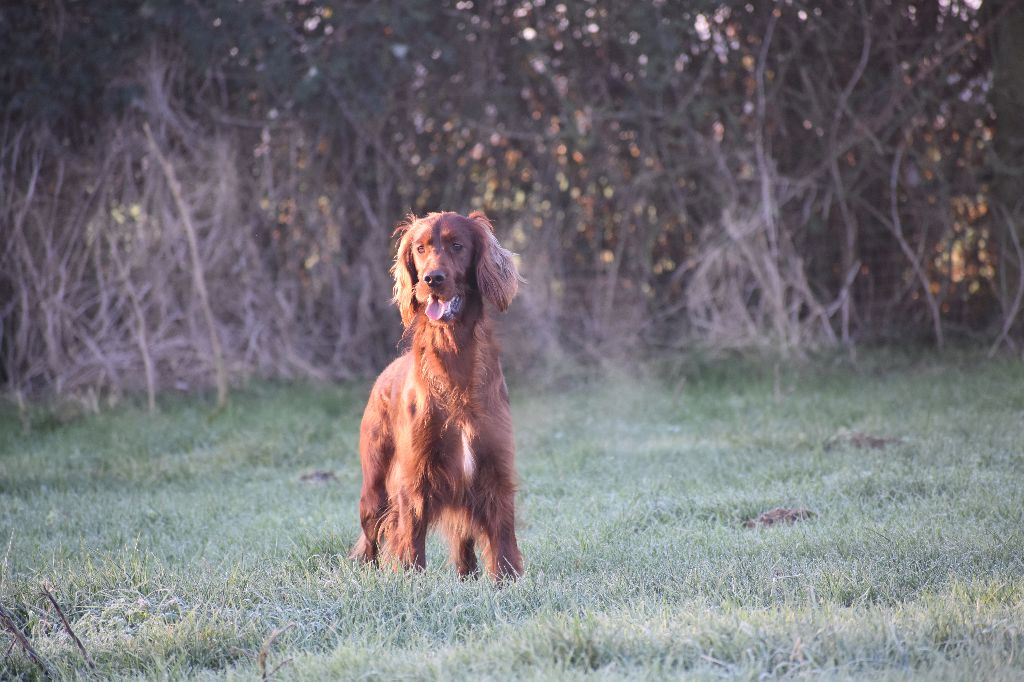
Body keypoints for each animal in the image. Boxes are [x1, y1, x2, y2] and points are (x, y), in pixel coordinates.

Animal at [352, 208, 528, 577]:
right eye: (420, 249)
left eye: (457, 245)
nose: (431, 279)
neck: (454, 366)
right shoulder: (415, 478)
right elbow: (411, 542)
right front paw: (410, 581)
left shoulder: (495, 471)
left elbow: (503, 540)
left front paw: (506, 582)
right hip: (374, 488)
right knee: (371, 536)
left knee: (464, 542)